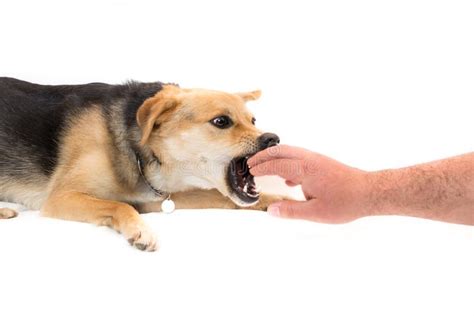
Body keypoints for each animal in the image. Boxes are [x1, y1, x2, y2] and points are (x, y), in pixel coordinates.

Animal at [0, 78, 284, 251]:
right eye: (221, 121)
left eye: (253, 121)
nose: (273, 139)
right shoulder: (62, 197)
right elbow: (120, 205)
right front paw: (140, 231)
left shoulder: (152, 199)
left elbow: (217, 195)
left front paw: (278, 199)